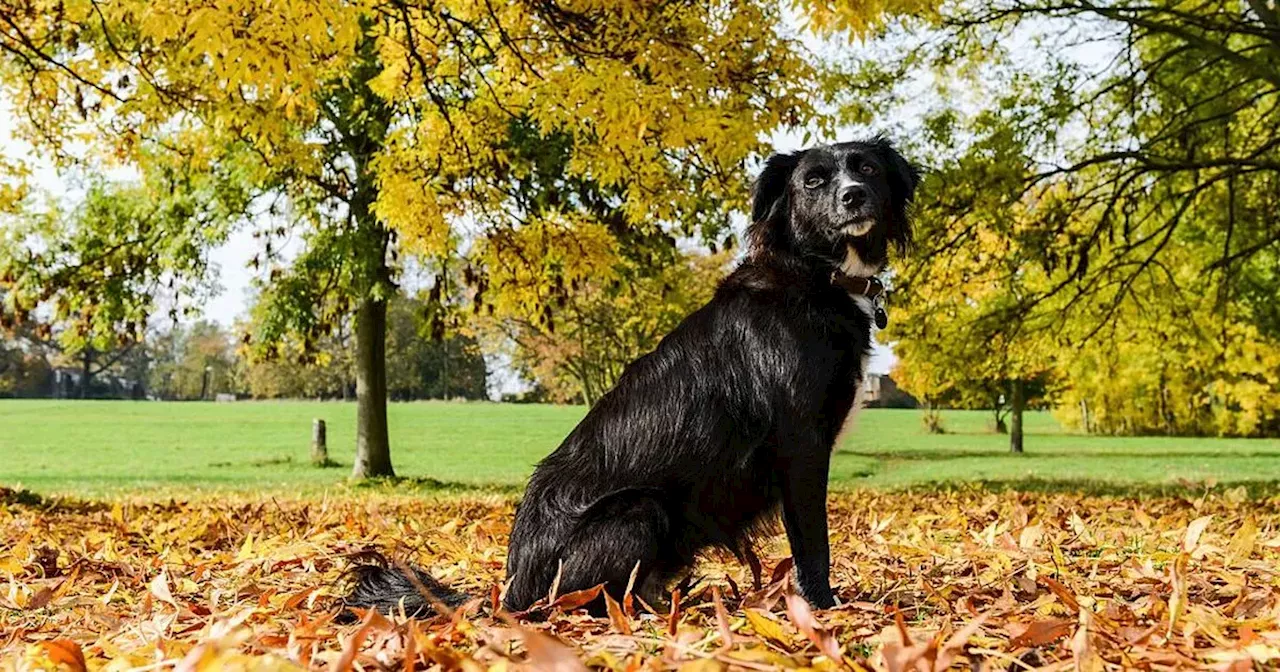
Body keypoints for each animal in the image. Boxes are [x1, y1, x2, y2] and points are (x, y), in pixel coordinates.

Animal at [345, 138, 916, 616]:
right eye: (814, 181)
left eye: (866, 168)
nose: (854, 196)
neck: (815, 274)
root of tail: (511, 589)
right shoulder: (800, 446)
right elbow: (814, 543)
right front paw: (825, 608)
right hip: (640, 509)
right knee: (582, 603)